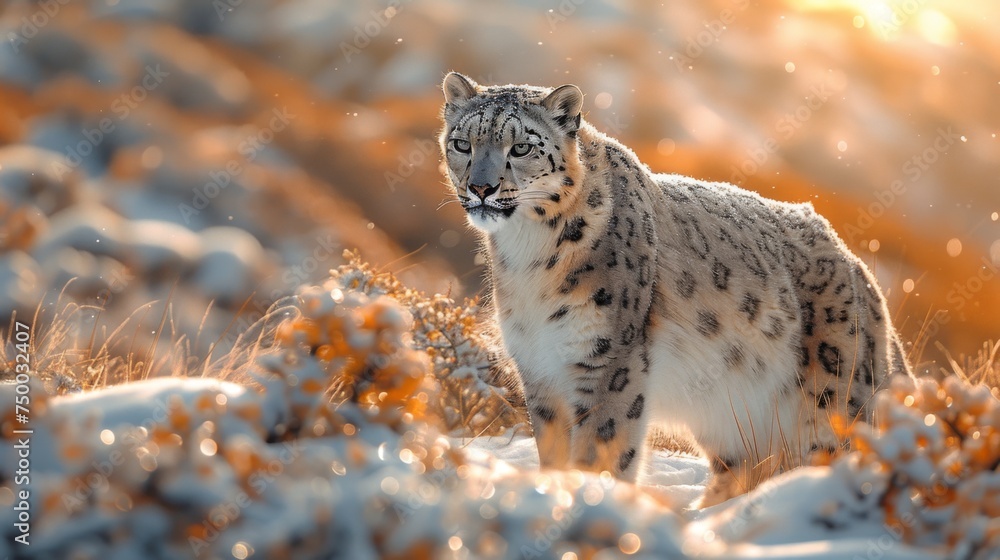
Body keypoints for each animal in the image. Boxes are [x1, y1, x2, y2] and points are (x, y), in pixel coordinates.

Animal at [437, 72, 912, 507]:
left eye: (520, 147)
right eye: (462, 144)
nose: (481, 188)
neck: (527, 258)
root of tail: (859, 270)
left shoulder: (609, 360)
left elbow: (600, 449)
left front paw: (592, 496)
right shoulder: (540, 370)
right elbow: (553, 452)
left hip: (837, 398)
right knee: (744, 467)